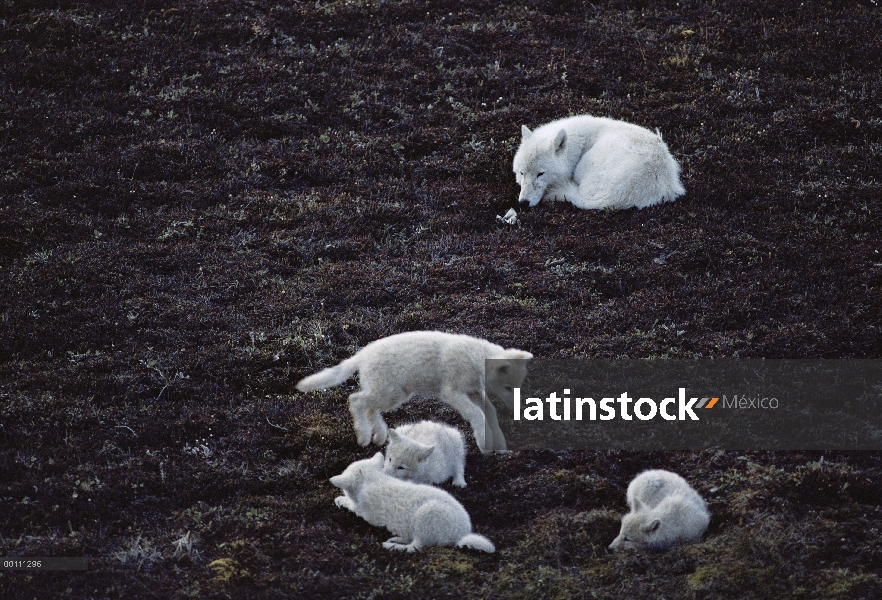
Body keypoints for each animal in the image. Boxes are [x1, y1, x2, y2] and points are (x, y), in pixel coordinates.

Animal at [296, 330, 528, 452]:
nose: (518, 409)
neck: (475, 358)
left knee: (370, 407)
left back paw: (379, 436)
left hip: (390, 392)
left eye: (518, 387)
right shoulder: (452, 391)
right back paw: (363, 436)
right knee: (357, 400)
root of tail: (362, 355)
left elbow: (490, 412)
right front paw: (484, 443)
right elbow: (477, 414)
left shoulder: (474, 391)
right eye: (508, 387)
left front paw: (501, 446)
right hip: (388, 390)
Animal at [330, 450, 496, 552]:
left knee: (416, 547)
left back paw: (391, 545)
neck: (373, 479)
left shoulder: (365, 512)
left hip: (427, 516)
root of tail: (462, 535)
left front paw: (341, 499)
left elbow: (353, 505)